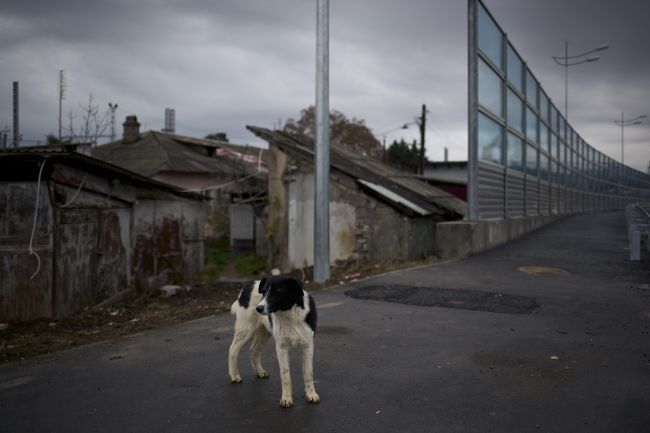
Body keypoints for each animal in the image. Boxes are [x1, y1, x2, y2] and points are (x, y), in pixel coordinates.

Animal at [228, 276, 318, 406]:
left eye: (277, 292)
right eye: (263, 292)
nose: (258, 308)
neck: (289, 314)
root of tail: (247, 285)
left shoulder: (308, 346)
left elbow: (308, 373)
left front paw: (311, 395)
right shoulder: (281, 348)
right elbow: (285, 375)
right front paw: (286, 398)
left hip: (264, 331)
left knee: (254, 350)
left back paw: (259, 372)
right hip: (245, 329)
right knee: (233, 350)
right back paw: (234, 375)